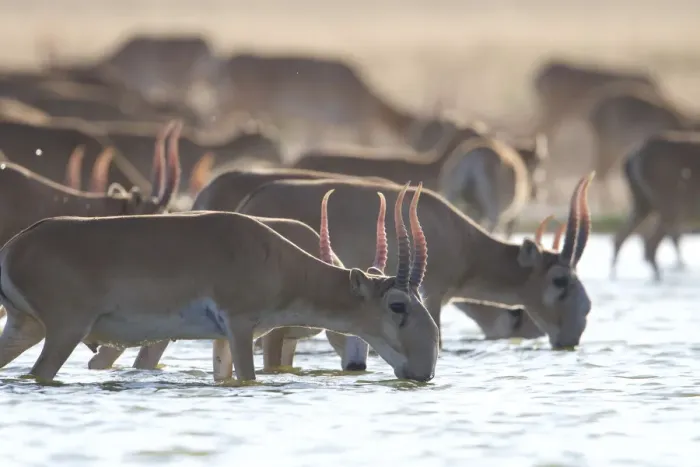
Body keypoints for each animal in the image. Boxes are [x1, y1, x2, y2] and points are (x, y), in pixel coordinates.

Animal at [0, 183, 439, 382]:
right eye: (397, 305)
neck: (274, 257)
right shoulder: (242, 327)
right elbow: (249, 377)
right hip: (64, 332)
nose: (425, 369)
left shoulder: (222, 338)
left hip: (25, 327)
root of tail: (14, 247)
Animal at [611, 131, 700, 281]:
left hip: (642, 201)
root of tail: (630, 159)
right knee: (651, 242)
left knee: (620, 236)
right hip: (670, 202)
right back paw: (659, 276)